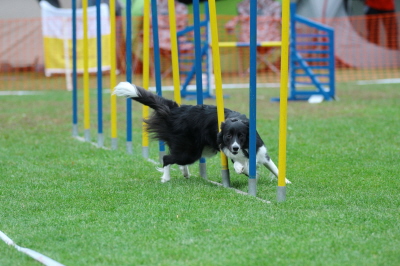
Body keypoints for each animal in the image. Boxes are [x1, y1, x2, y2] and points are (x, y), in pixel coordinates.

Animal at [112, 82, 290, 184]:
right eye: (228, 136)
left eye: (241, 136)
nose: (234, 148)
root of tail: (176, 111)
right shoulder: (229, 150)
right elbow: (241, 166)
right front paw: (244, 169)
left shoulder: (260, 152)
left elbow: (273, 168)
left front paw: (286, 182)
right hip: (190, 151)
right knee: (167, 158)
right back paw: (166, 178)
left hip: (201, 150)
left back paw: (185, 173)